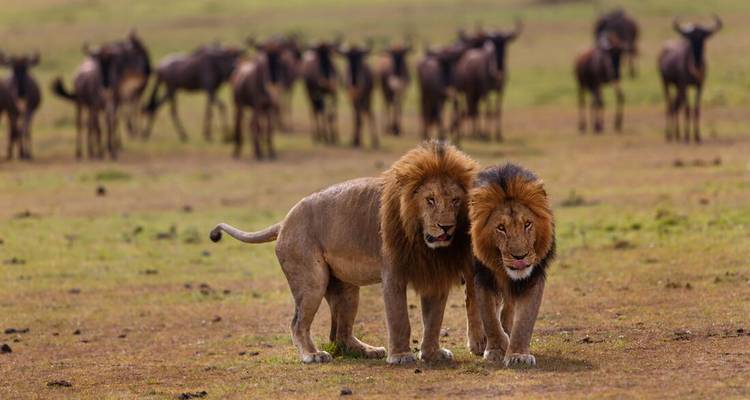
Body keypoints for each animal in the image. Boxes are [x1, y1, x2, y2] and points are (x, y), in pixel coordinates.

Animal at [209, 141, 484, 364]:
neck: (423, 243)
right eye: (430, 200)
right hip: (312, 280)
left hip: (347, 289)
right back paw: (312, 355)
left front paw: (432, 354)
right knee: (298, 323)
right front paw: (401, 356)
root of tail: (284, 221)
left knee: (339, 334)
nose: (446, 227)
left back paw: (367, 350)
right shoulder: (393, 274)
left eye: (455, 201)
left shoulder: (434, 274)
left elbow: (434, 320)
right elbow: (399, 319)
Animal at [469, 163, 556, 367]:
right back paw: (478, 341)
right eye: (501, 228)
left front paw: (517, 354)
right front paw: (496, 349)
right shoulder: (482, 277)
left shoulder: (533, 278)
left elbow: (524, 320)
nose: (520, 256)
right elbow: (489, 317)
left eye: (528, 224)